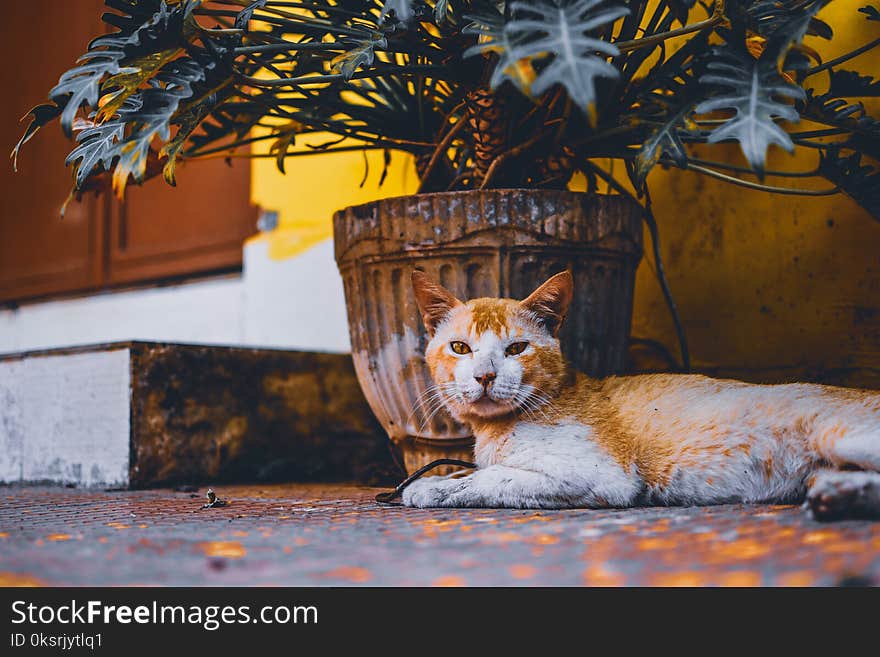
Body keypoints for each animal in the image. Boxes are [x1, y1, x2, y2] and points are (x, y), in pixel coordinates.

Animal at [404, 266, 880, 516]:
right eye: (460, 348)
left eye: (516, 349)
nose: (484, 376)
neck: (494, 431)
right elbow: (468, 472)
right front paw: (438, 477)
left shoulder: (597, 474)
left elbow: (489, 477)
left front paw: (427, 489)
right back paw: (841, 495)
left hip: (839, 434)